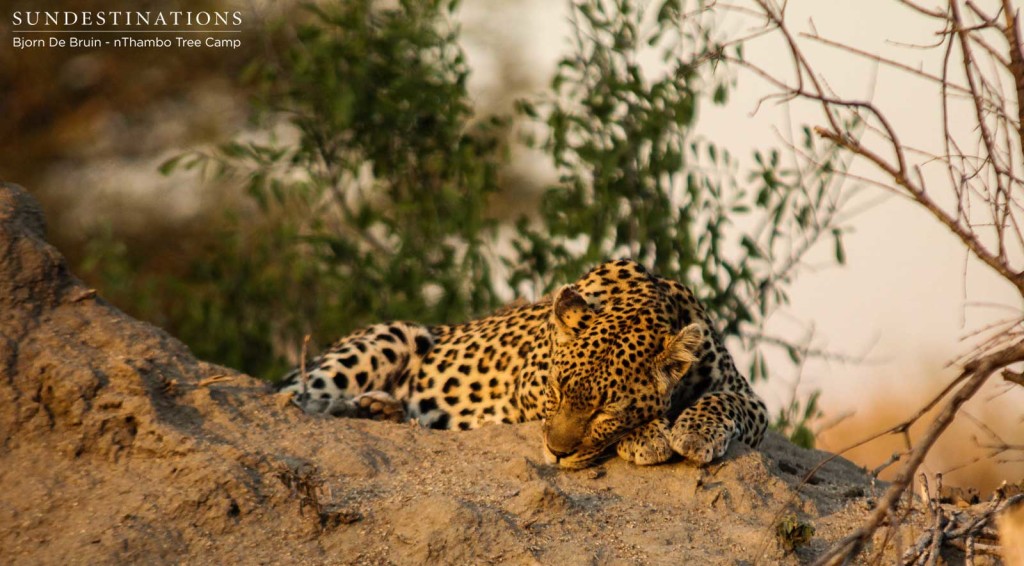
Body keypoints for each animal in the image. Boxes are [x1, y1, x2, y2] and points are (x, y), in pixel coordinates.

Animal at [278, 258, 770, 468]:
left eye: (607, 410)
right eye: (554, 391)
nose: (556, 453)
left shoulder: (749, 397)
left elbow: (723, 402)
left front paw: (694, 432)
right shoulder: (526, 384)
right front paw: (649, 434)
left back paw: (383, 409)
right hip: (390, 336)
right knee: (295, 397)